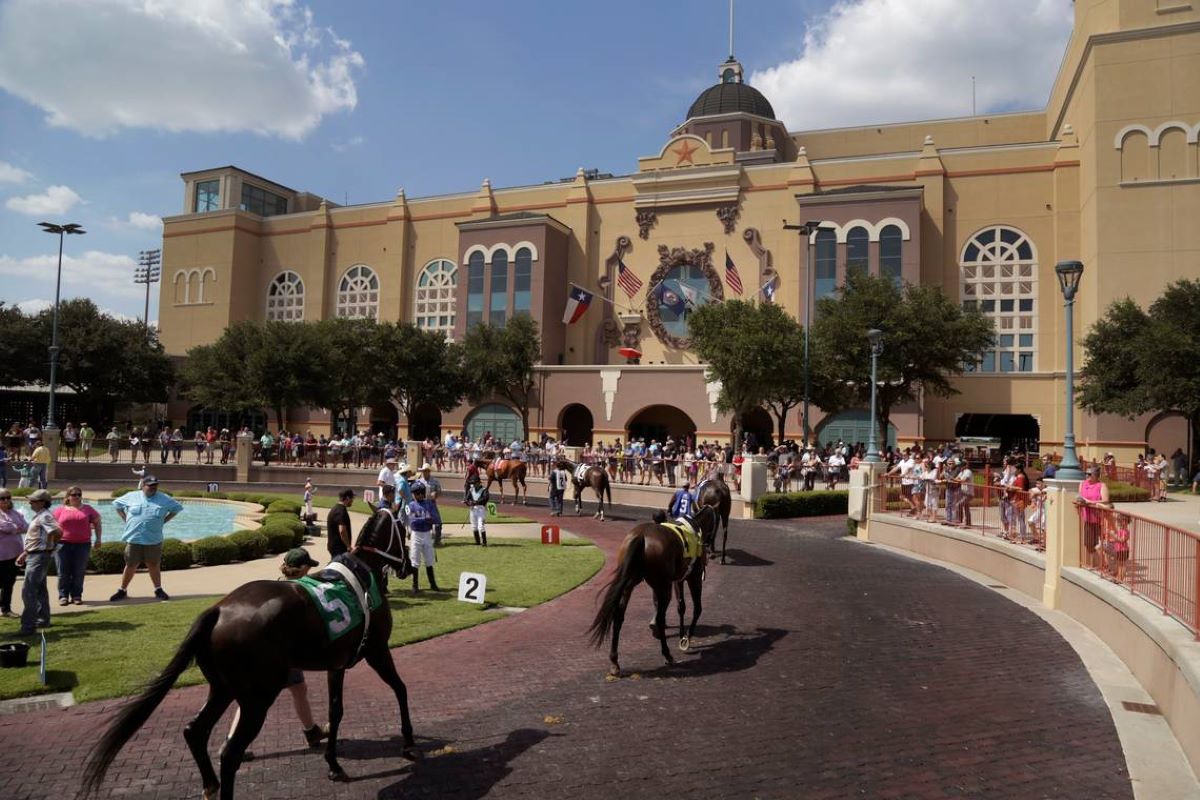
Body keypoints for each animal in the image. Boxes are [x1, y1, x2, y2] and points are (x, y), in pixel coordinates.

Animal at [81, 513, 417, 800]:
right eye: (404, 530)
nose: (409, 567)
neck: (364, 568)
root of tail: (218, 611)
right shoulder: (376, 650)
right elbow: (401, 689)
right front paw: (409, 742)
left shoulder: (337, 663)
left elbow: (336, 711)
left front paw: (334, 765)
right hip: (258, 696)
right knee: (230, 753)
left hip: (222, 687)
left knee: (195, 731)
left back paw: (210, 786)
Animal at [585, 506, 715, 676]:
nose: (710, 549)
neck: (695, 526)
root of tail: (641, 536)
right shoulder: (694, 577)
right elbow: (697, 608)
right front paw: (686, 639)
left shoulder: (678, 579)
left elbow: (681, 607)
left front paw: (682, 636)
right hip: (663, 585)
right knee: (660, 618)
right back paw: (667, 654)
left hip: (629, 583)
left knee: (619, 616)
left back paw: (614, 662)